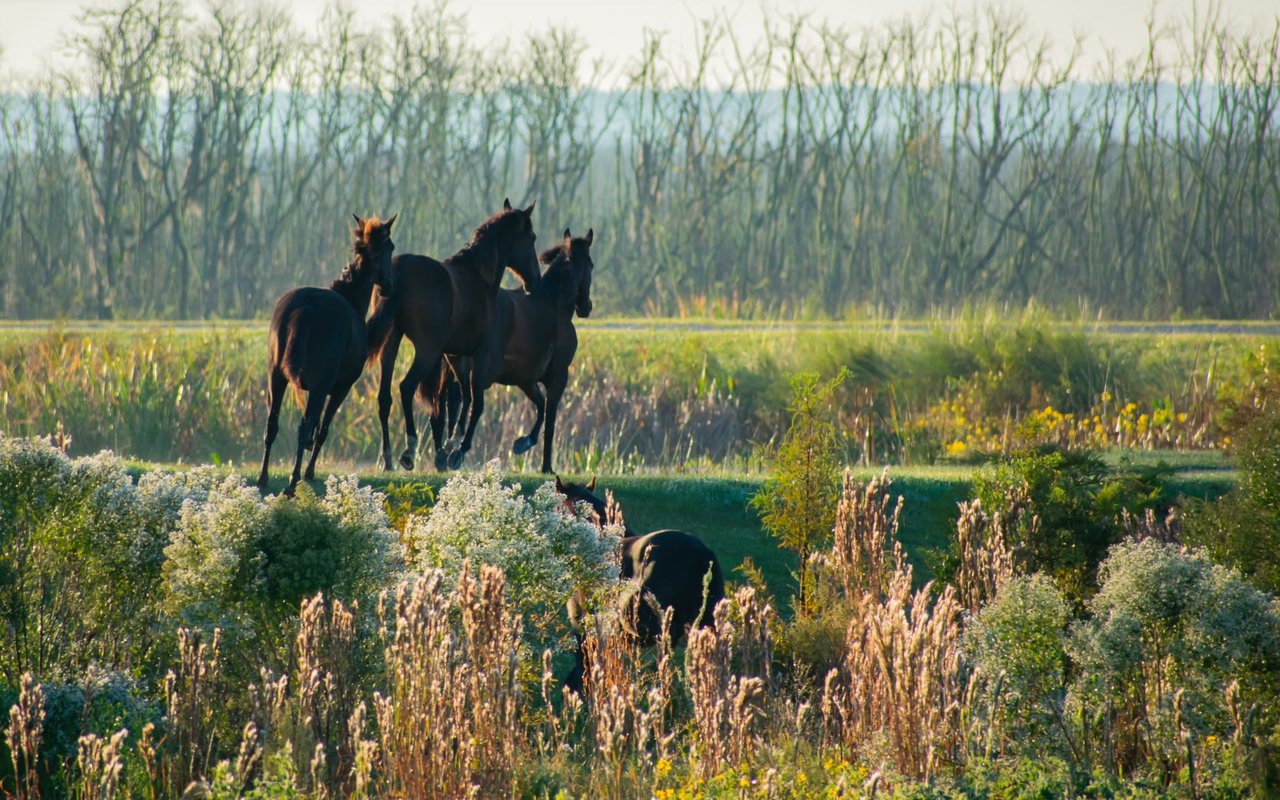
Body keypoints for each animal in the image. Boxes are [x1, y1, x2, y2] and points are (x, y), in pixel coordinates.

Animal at [257, 215, 396, 496]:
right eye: (391, 247)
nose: (388, 285)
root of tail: (307, 307)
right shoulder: (340, 388)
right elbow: (322, 428)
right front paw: (310, 471)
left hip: (276, 377)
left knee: (272, 424)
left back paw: (263, 478)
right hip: (320, 386)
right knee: (304, 425)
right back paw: (293, 481)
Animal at [366, 199, 540, 471]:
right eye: (531, 238)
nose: (534, 281)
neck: (478, 277)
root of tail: (400, 270)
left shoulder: (456, 355)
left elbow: (464, 398)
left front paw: (451, 443)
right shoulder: (480, 354)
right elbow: (476, 403)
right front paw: (458, 451)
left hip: (391, 344)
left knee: (385, 398)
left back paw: (388, 459)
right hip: (426, 352)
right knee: (406, 388)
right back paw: (409, 450)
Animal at [427, 227, 591, 471]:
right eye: (591, 265)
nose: (586, 307)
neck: (553, 305)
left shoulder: (525, 380)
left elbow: (540, 406)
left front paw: (524, 442)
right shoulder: (558, 377)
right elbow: (550, 420)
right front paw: (546, 466)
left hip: (451, 371)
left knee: (444, 407)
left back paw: (443, 454)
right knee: (464, 404)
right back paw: (455, 451)